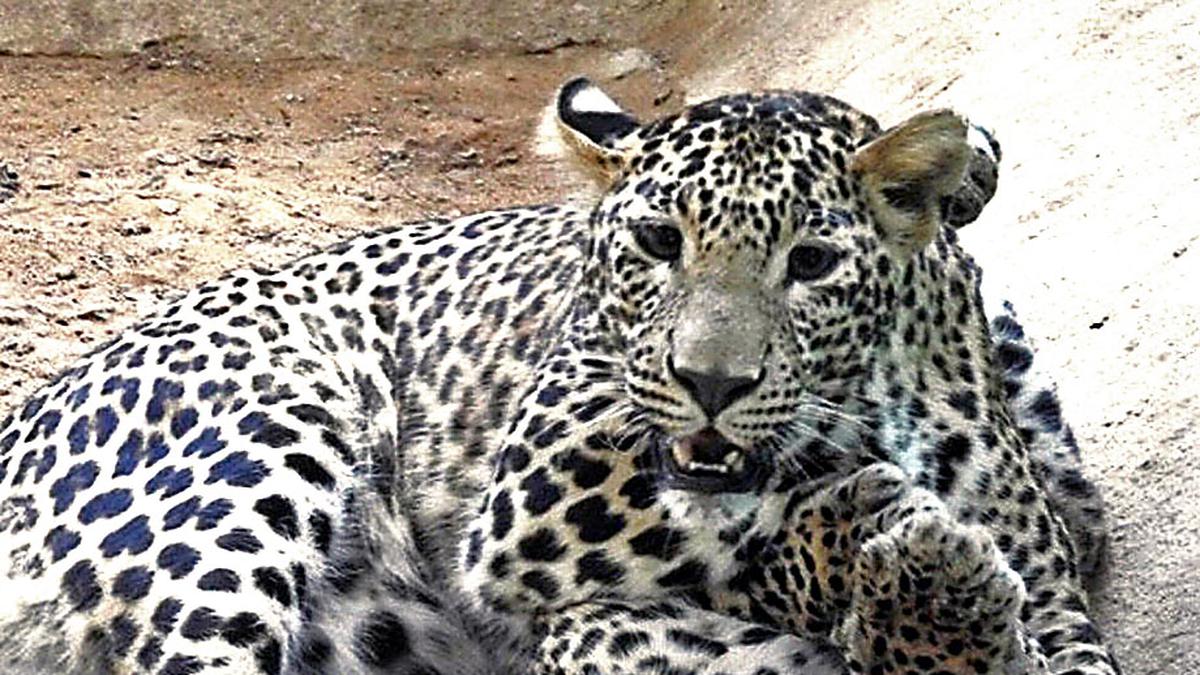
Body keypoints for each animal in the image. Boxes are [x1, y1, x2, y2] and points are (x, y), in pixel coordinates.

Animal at [0, 76, 1114, 674]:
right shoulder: (541, 508)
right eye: (660, 242)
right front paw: (880, 544)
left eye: (810, 263)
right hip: (253, 462)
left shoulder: (1060, 602)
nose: (711, 382)